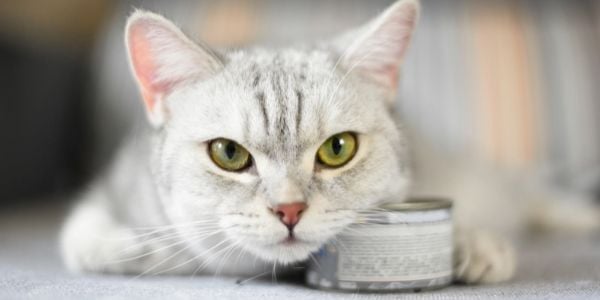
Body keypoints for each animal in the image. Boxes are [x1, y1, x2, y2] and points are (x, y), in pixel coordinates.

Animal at [59, 0, 600, 284]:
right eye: (229, 154)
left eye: (337, 149)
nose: (290, 210)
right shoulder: (100, 209)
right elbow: (111, 246)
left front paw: (471, 245)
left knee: (539, 197)